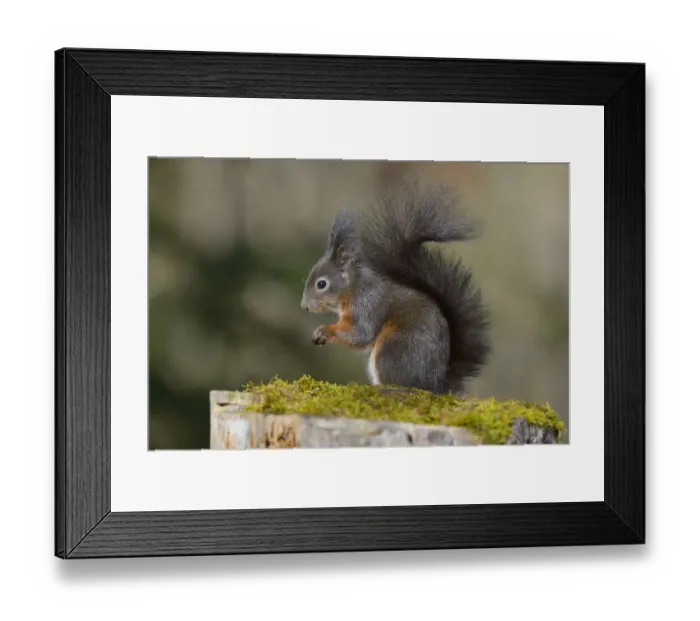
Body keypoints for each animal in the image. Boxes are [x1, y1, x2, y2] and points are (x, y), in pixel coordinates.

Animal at [300, 178, 491, 395]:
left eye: (321, 284)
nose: (304, 306)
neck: (354, 287)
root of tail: (434, 385)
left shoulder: (367, 304)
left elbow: (360, 333)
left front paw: (324, 331)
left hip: (392, 348)